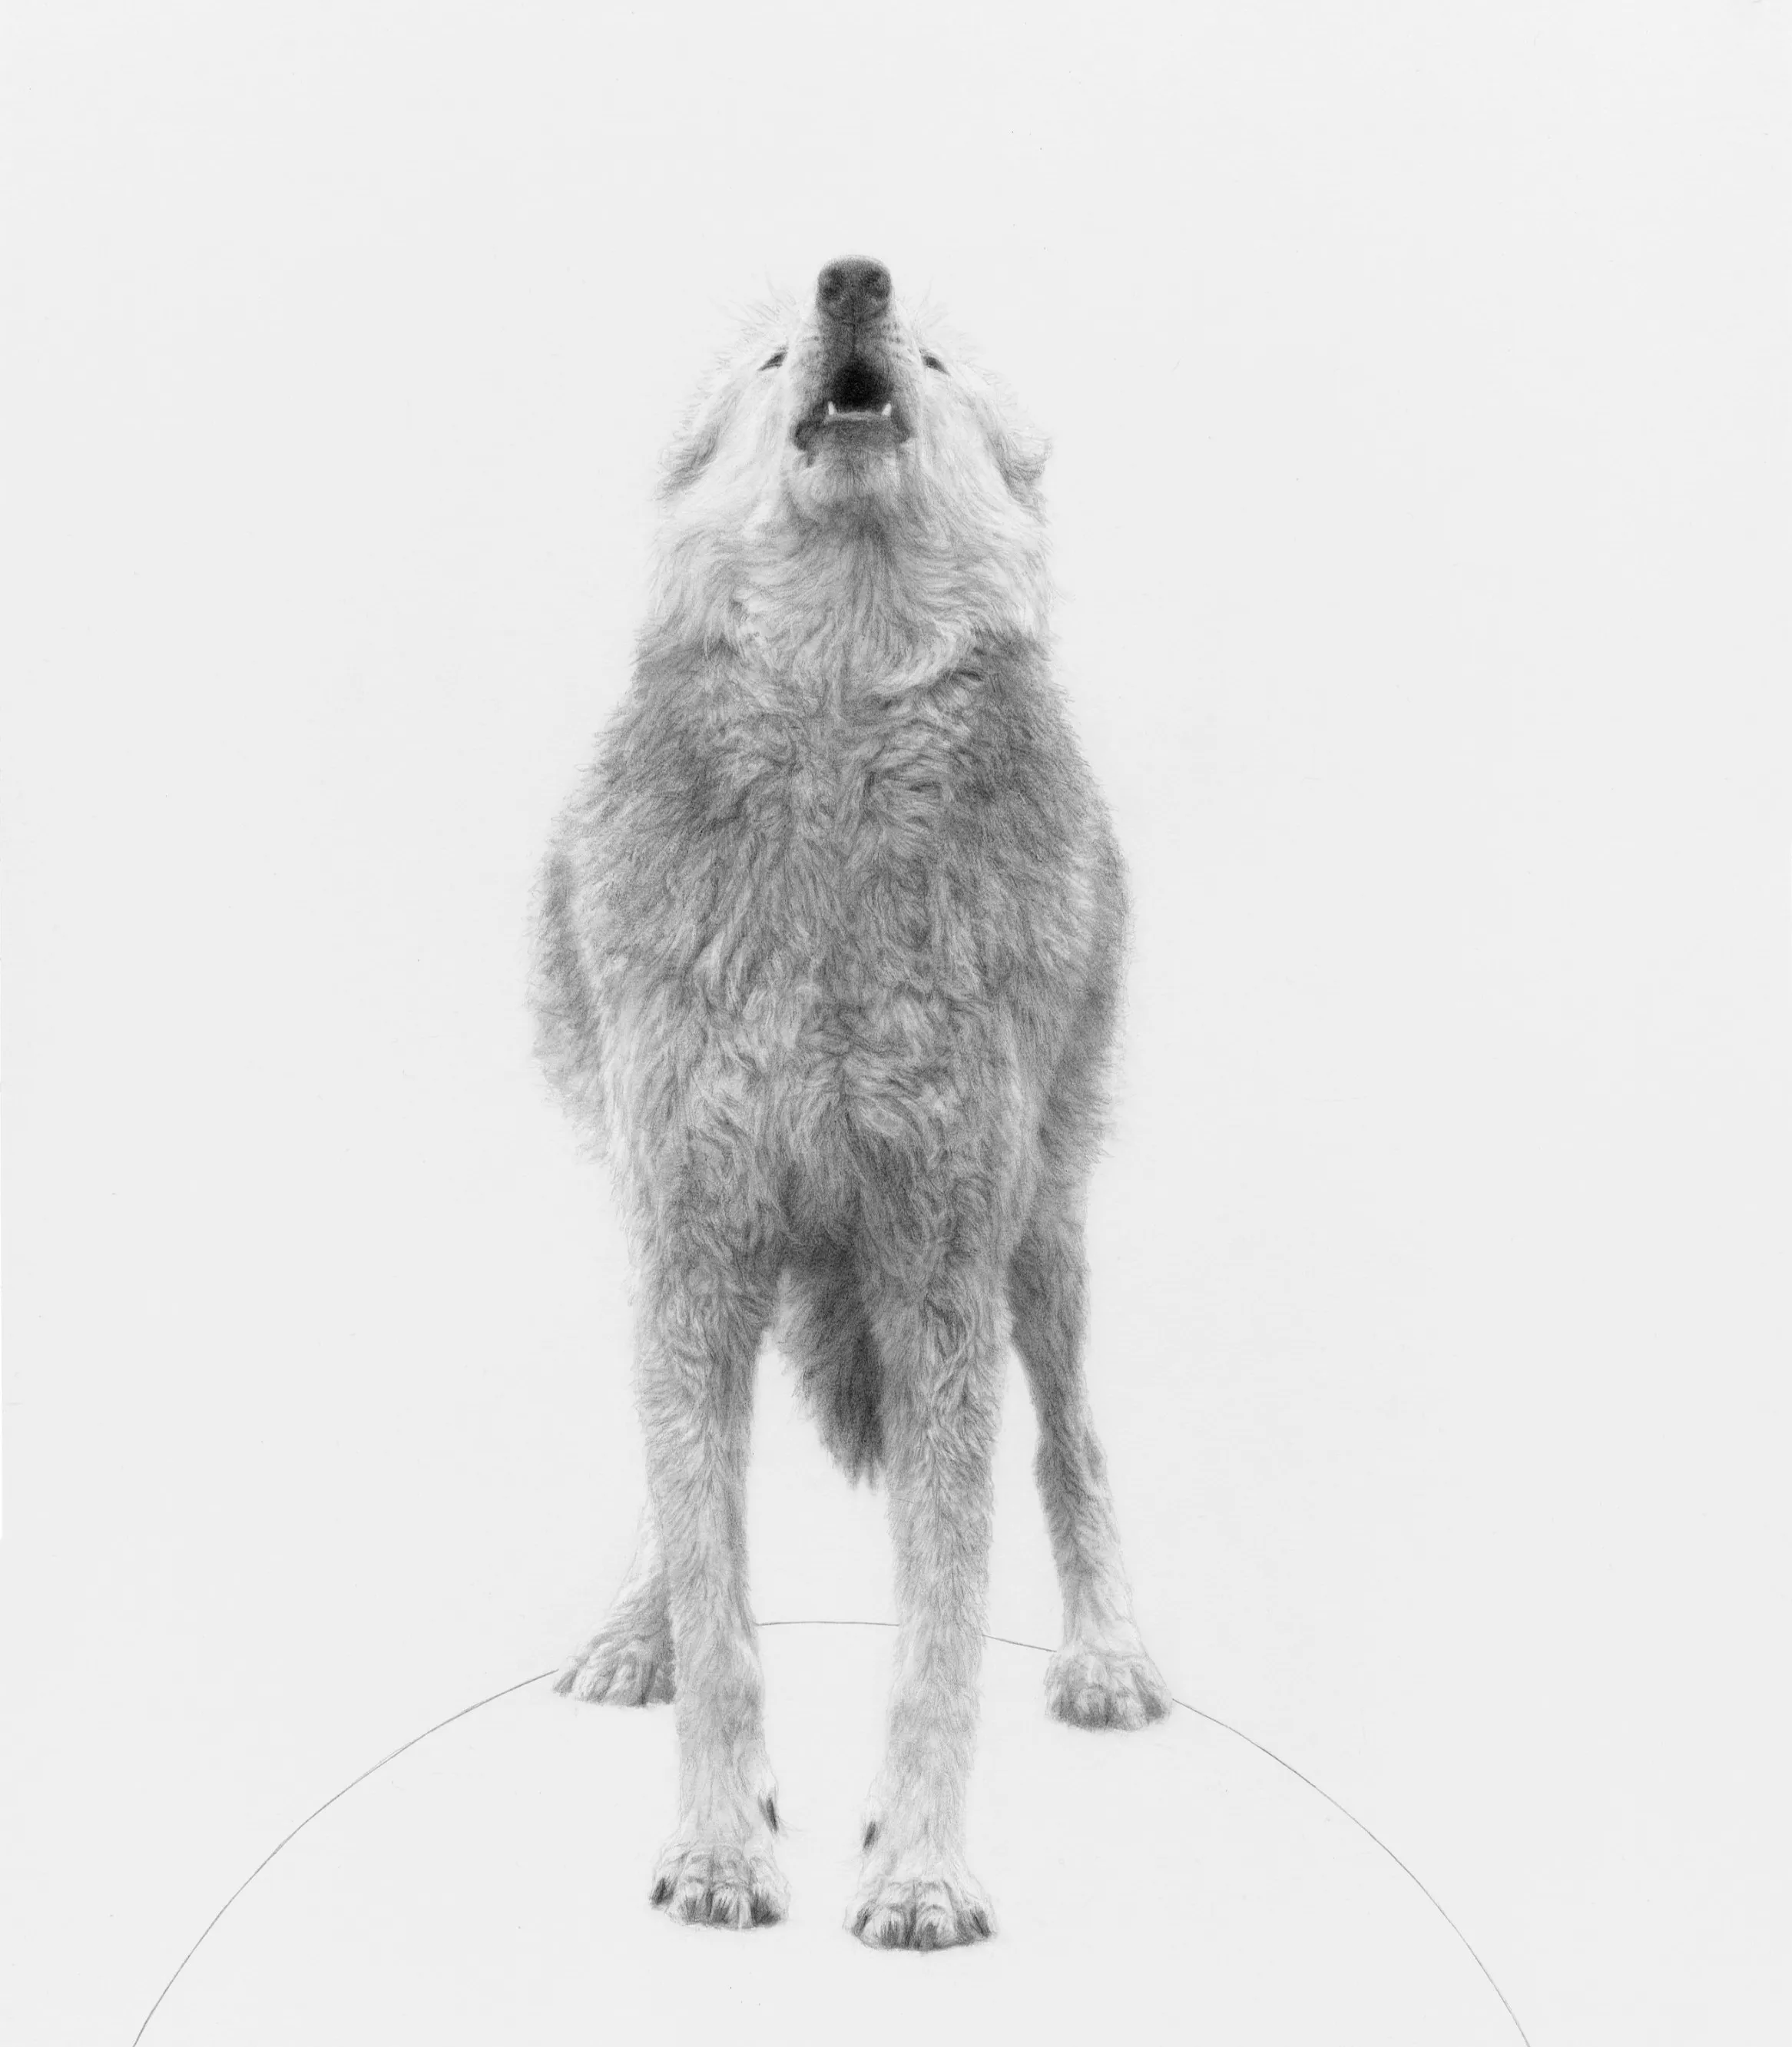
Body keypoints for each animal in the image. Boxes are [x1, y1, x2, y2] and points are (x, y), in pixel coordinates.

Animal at [533, 256, 1170, 1949]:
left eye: (932, 359)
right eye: (771, 355)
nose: (853, 276)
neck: (830, 744)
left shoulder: (937, 1268)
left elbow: (943, 1617)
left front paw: (920, 1869)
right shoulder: (693, 1243)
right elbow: (714, 1583)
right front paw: (717, 1848)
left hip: (1043, 1239)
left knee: (1074, 1446)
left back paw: (1107, 1655)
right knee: (669, 1476)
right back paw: (630, 1633)